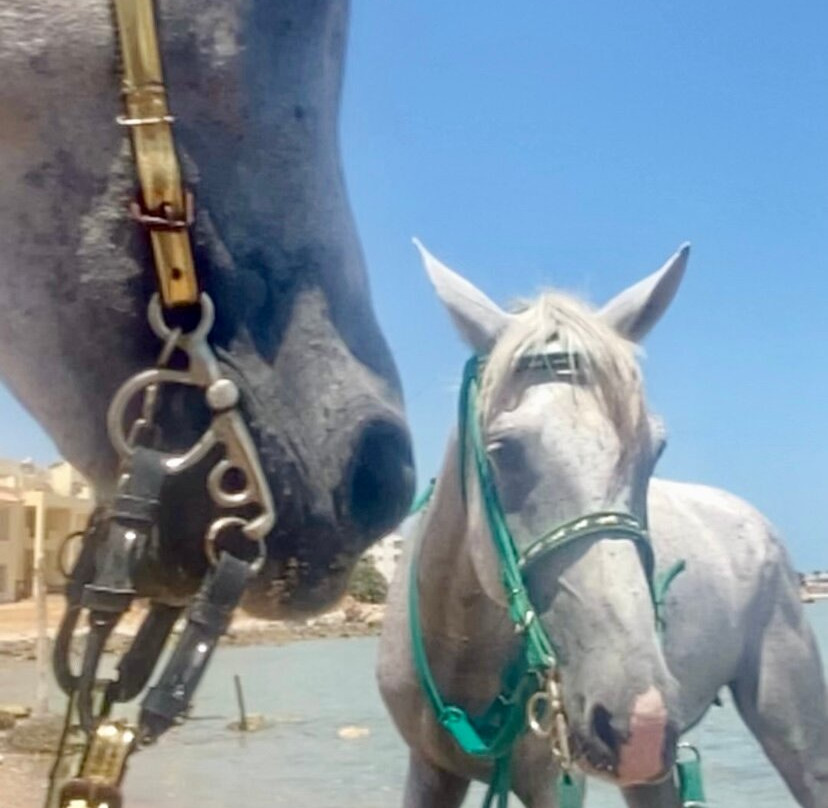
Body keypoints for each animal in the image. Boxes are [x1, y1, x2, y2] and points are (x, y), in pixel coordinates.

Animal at [378, 242, 828, 807]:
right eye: (502, 450)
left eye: (655, 447)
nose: (640, 721)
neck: (462, 653)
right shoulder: (430, 768)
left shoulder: (554, 781)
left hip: (791, 723)